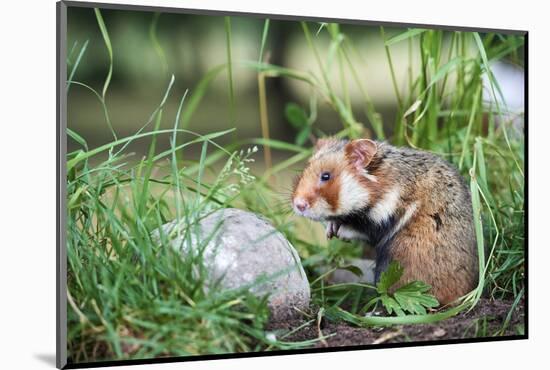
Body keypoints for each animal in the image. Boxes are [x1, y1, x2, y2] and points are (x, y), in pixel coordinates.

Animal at [294, 137, 478, 304]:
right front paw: (330, 230)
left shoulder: (385, 216)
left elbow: (360, 229)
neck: (377, 185)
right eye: (304, 170)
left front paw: (339, 232)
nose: (297, 205)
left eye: (326, 176)